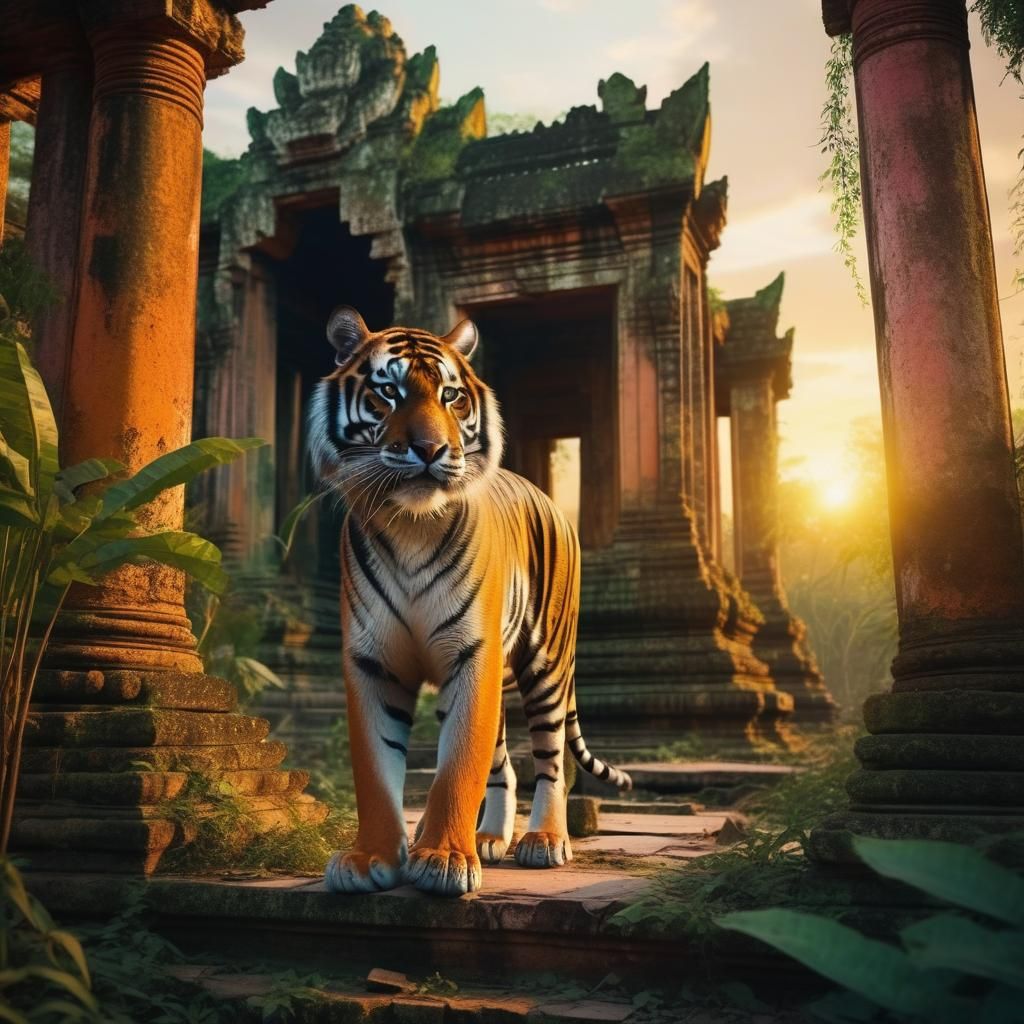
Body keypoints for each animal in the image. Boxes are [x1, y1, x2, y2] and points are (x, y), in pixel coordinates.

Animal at [307, 306, 631, 898]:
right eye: (387, 392)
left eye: (452, 396)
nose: (431, 449)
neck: (411, 524)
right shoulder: (372, 661)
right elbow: (375, 769)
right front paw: (370, 859)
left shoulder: (471, 657)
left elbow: (458, 765)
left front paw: (441, 859)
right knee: (505, 764)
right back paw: (489, 838)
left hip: (547, 663)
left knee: (552, 760)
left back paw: (545, 841)